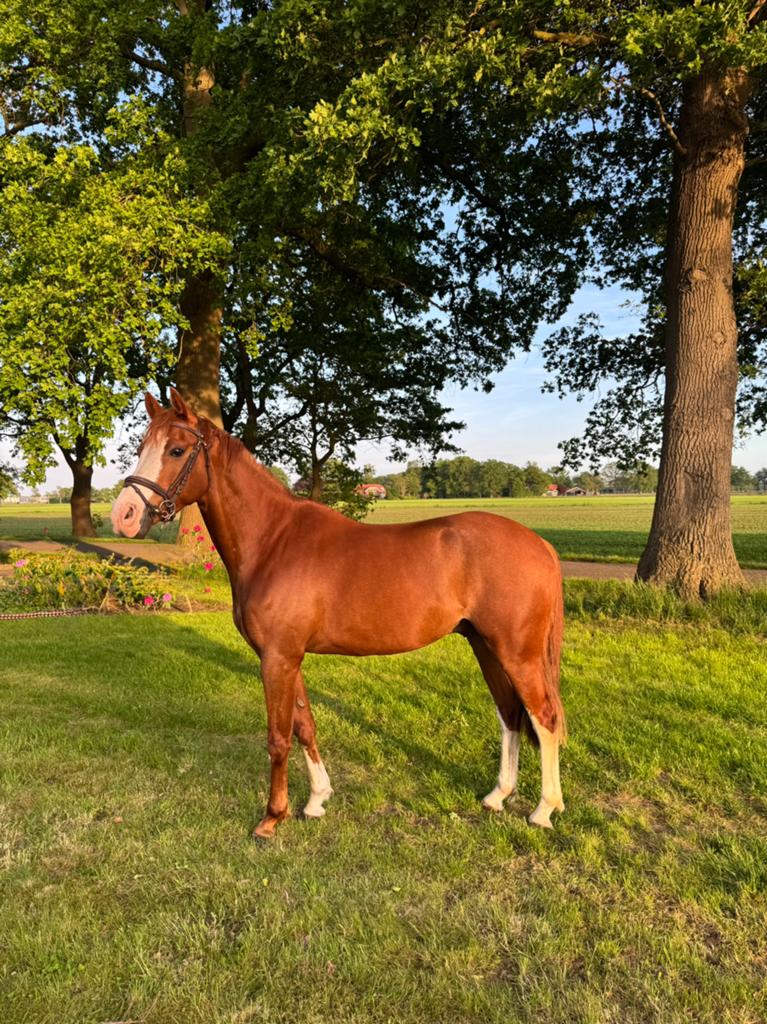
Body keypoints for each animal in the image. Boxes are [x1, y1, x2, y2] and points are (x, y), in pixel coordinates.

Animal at [111, 389, 567, 839]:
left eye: (176, 449)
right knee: (510, 714)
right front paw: (316, 800)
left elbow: (278, 737)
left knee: (543, 717)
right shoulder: (286, 656)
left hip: (517, 653)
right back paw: (497, 796)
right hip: (485, 646)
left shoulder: (278, 658)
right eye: (141, 448)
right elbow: (304, 725)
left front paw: (272, 817)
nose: (124, 516)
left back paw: (544, 809)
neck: (274, 541)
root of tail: (540, 545)